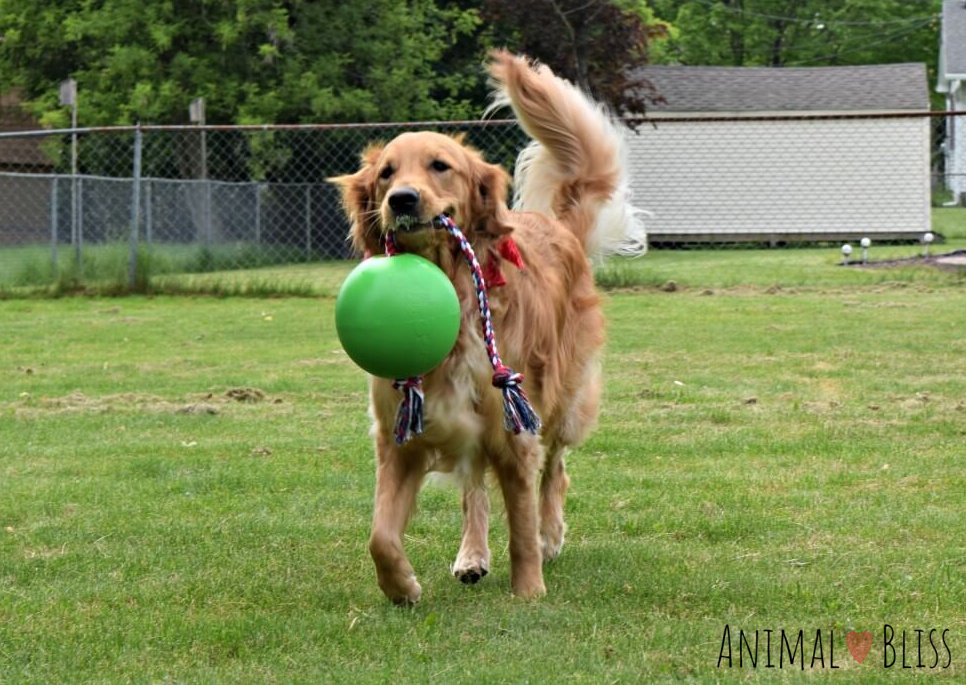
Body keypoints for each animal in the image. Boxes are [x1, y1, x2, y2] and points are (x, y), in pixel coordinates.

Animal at [330, 50, 644, 600]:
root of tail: (556, 224)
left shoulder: (513, 426)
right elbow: (380, 535)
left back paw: (550, 535)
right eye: (387, 173)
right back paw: (472, 555)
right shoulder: (400, 435)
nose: (402, 199)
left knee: (555, 470)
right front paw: (402, 586)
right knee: (473, 488)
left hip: (563, 398)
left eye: (440, 166)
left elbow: (520, 520)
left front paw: (530, 590)